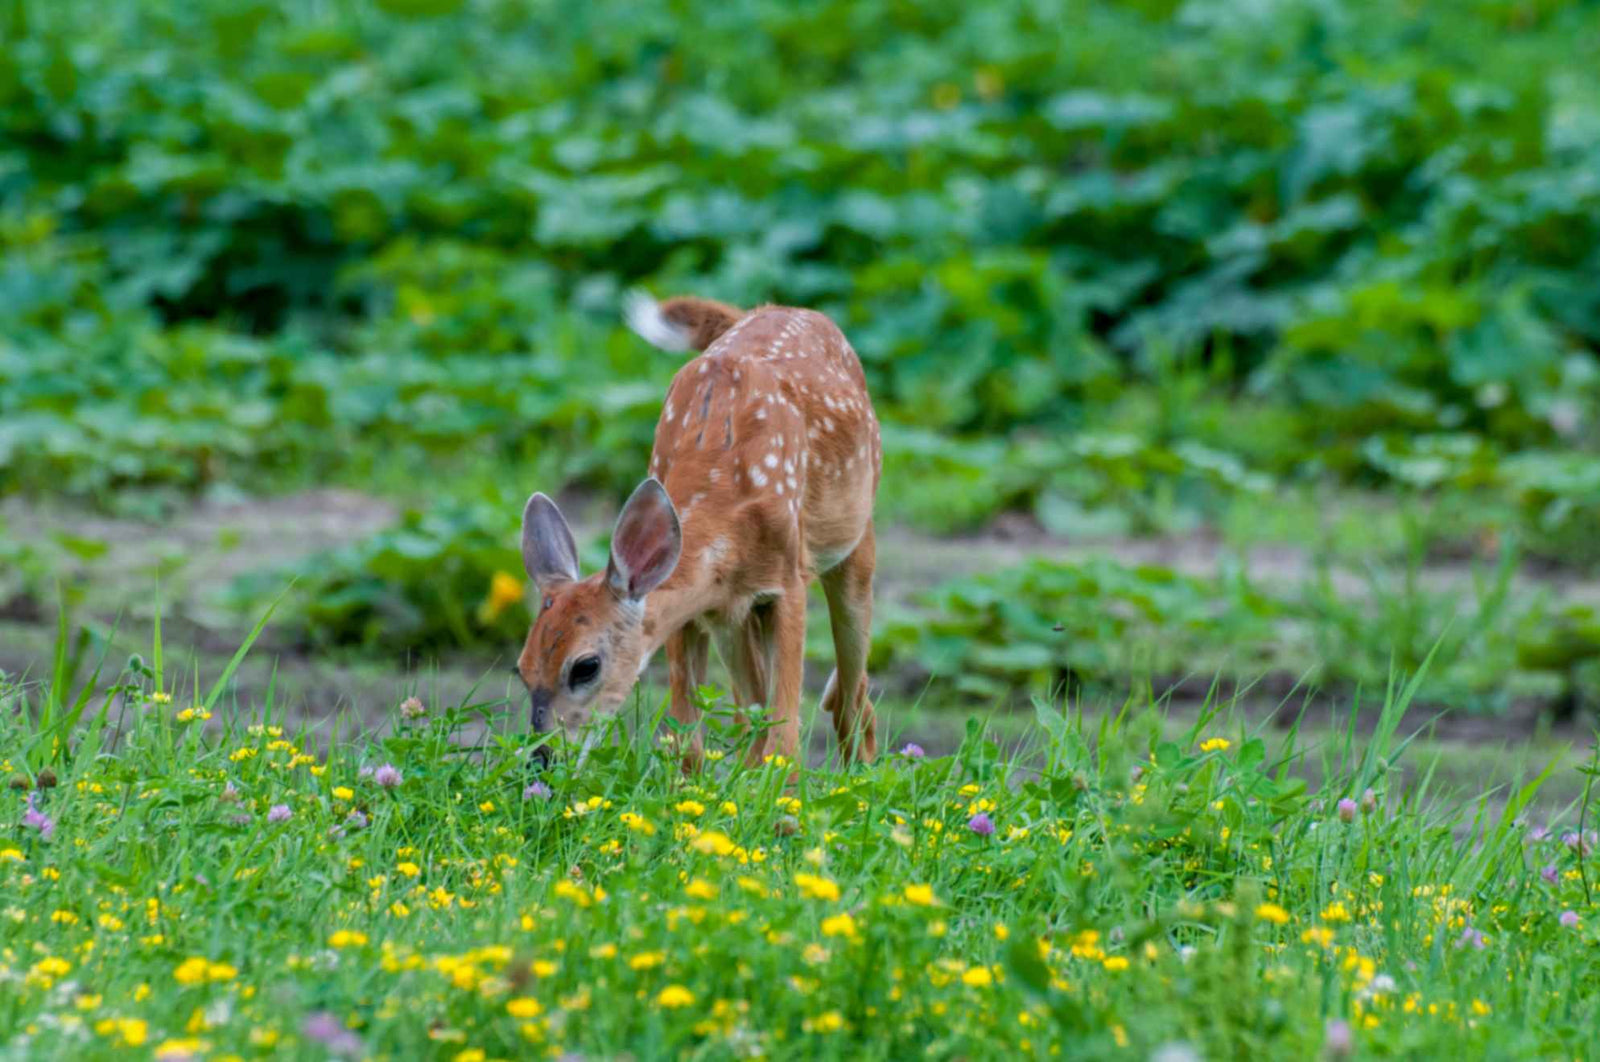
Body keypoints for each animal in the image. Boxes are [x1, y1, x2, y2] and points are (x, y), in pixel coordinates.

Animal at [513, 293, 881, 770]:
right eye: (521, 668)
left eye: (585, 666)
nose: (542, 759)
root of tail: (772, 307)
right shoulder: (698, 608)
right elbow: (687, 738)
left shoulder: (788, 579)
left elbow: (783, 738)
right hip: (734, 619)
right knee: (754, 708)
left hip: (855, 545)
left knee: (851, 698)